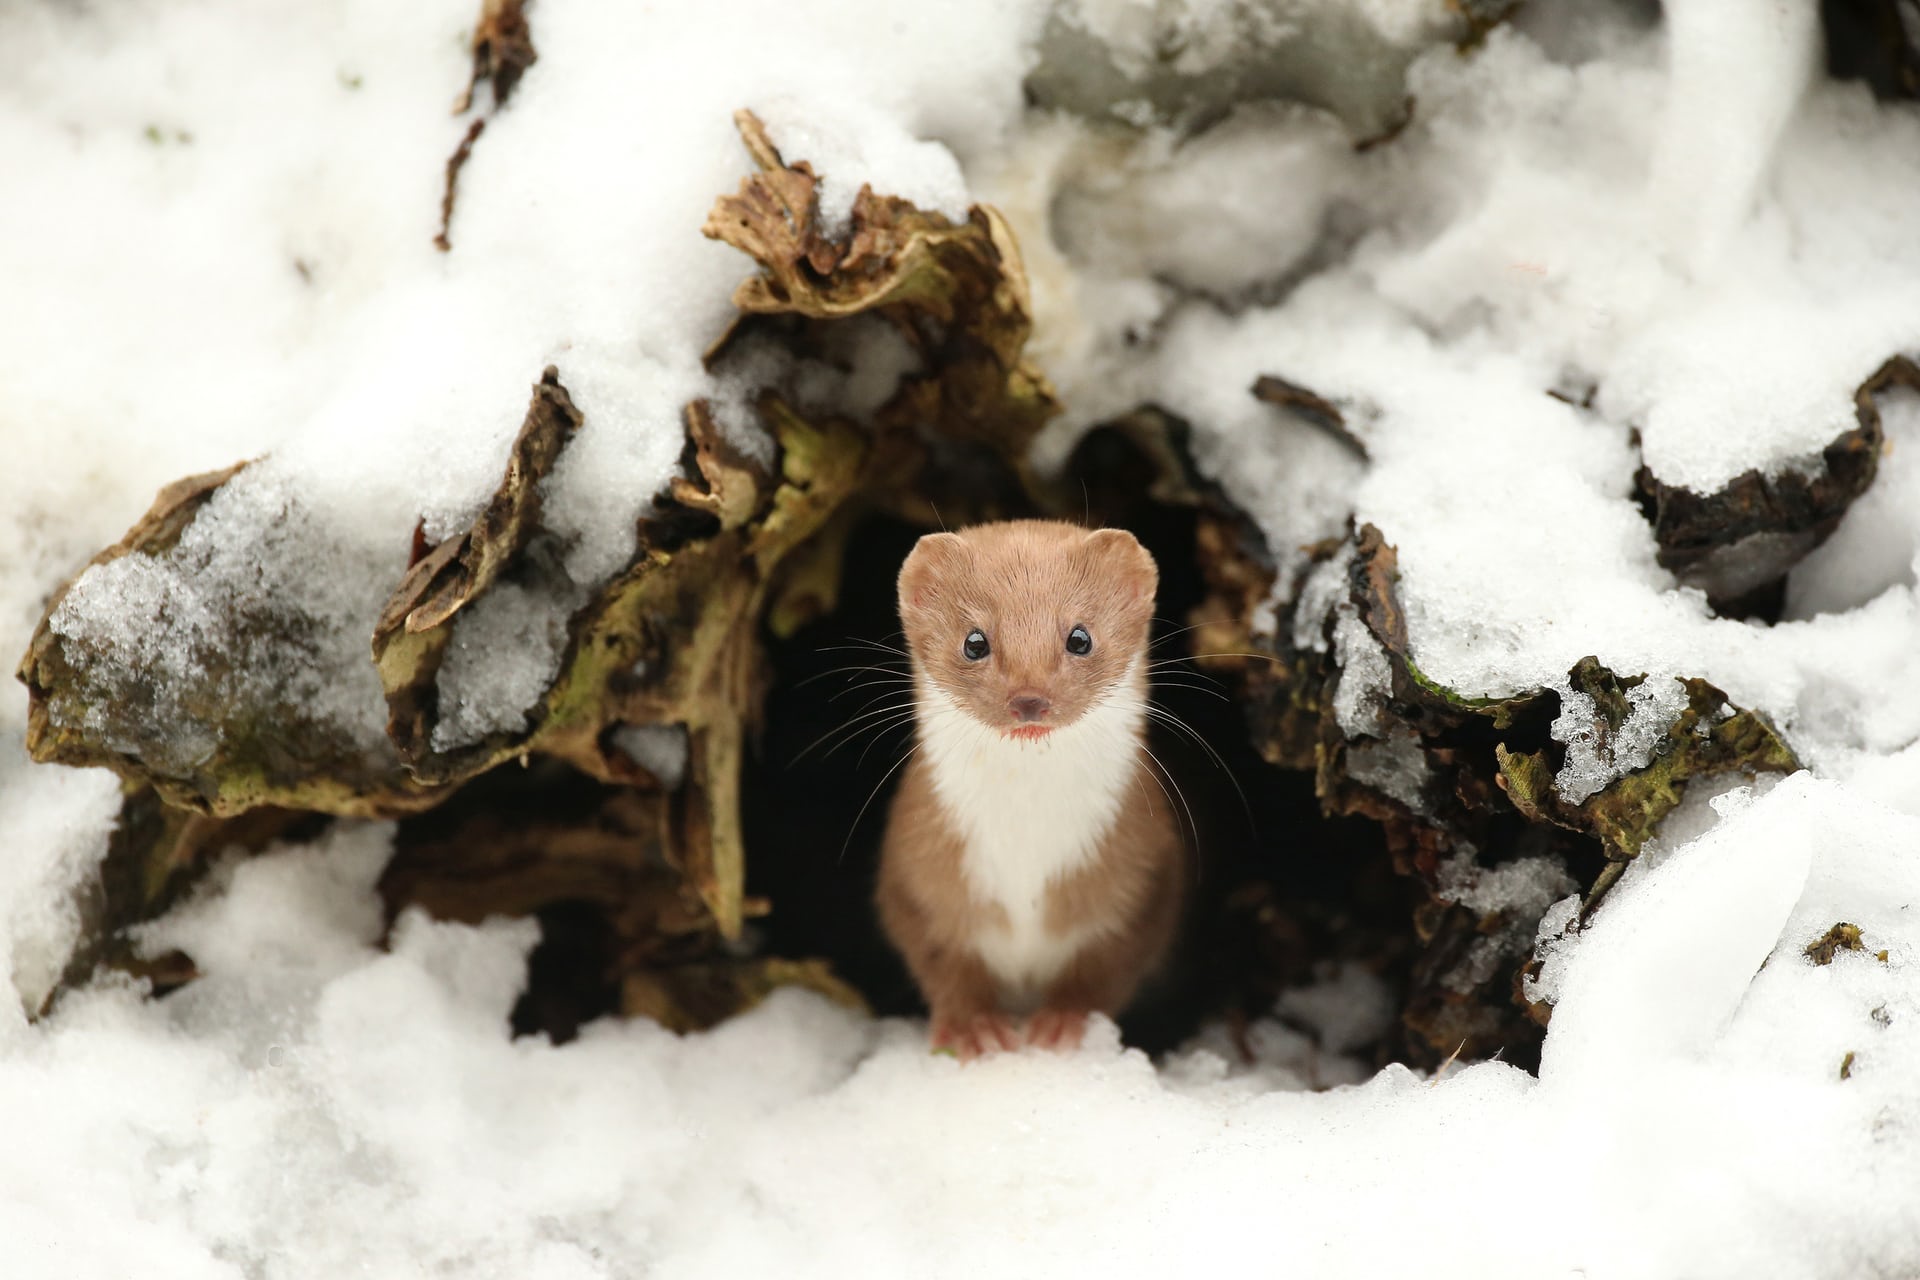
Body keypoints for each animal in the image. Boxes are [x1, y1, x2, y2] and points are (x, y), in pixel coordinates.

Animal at [875, 521, 1175, 1059]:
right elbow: (940, 957)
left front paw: (1061, 1023)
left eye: (1080, 637)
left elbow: (1105, 968)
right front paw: (976, 1028)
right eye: (974, 641)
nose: (1029, 698)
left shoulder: (1143, 882)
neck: (1026, 845)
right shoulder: (914, 872)